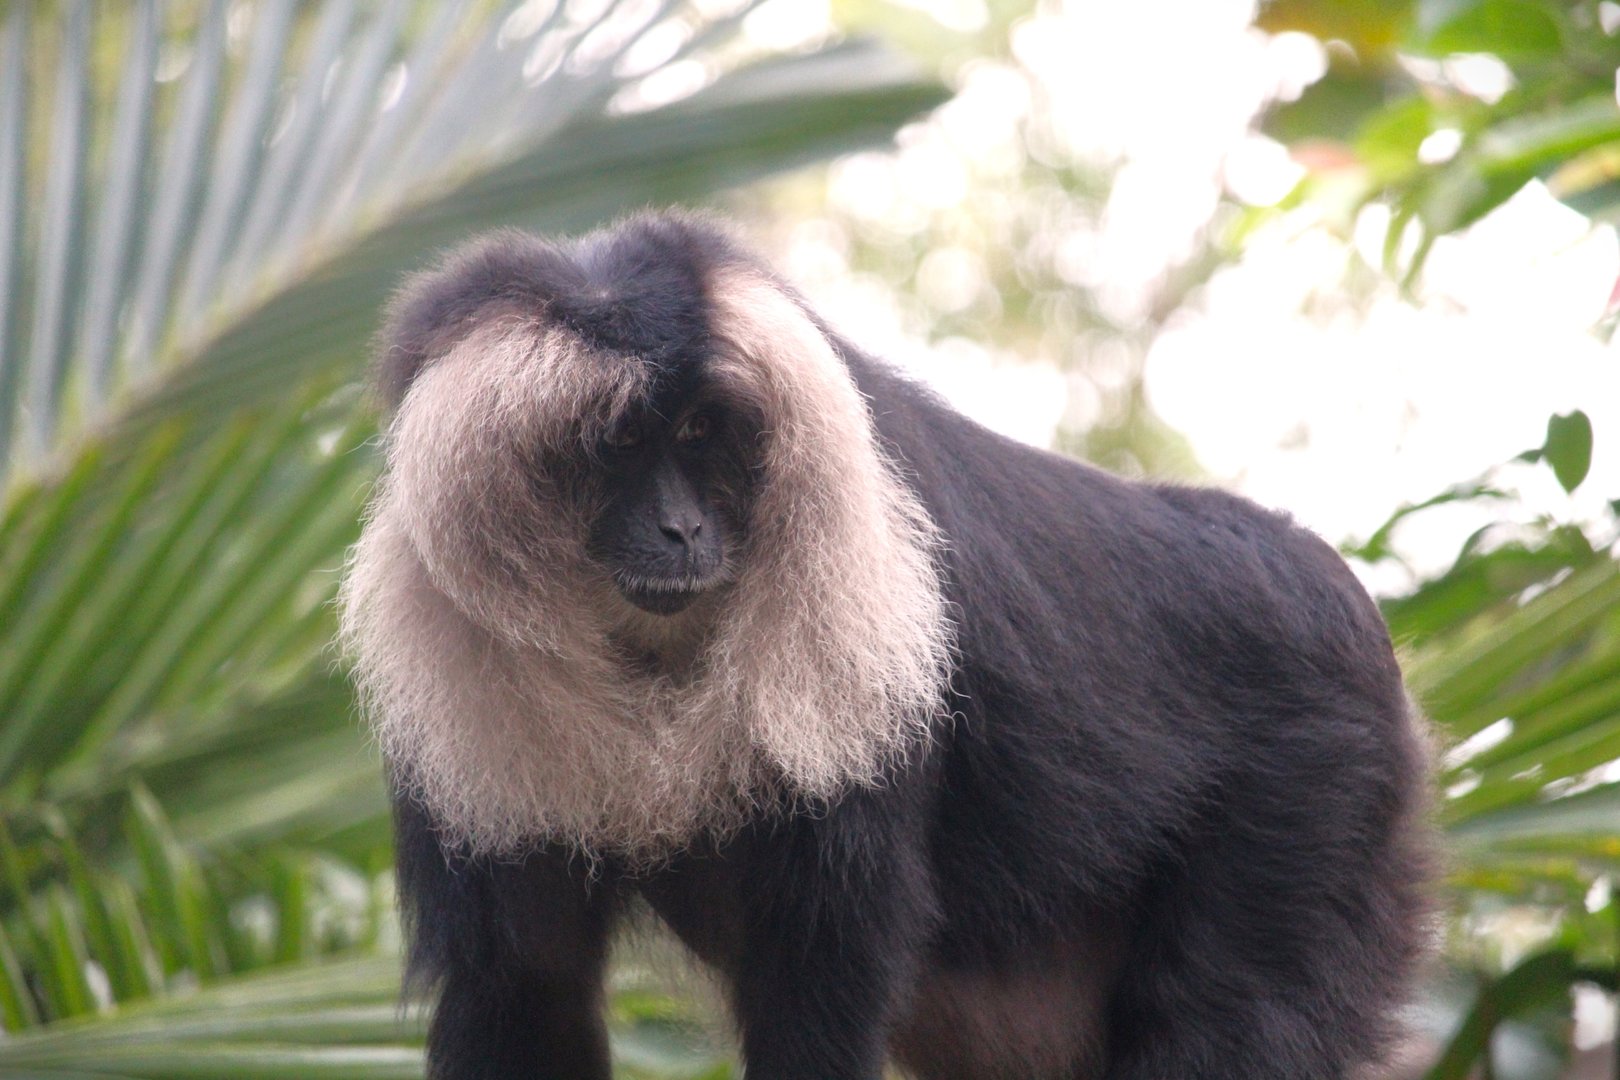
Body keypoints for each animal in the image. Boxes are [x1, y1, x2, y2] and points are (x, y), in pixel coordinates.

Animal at [338, 211, 1433, 1080]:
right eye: (617, 445)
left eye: (698, 434)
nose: (683, 530)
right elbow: (529, 982)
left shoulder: (850, 658)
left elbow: (819, 981)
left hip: (1317, 777)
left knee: (1231, 1015)